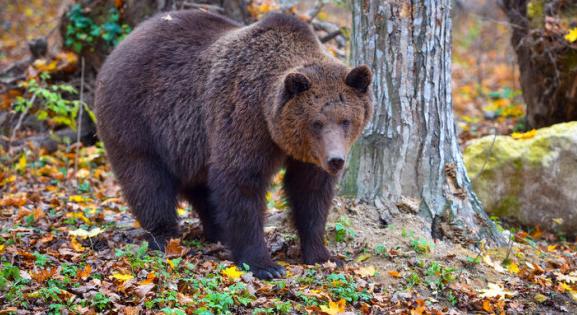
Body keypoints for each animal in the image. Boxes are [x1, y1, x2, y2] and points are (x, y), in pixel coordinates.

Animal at [94, 11, 374, 280]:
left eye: (346, 120)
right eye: (317, 122)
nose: (336, 160)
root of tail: (120, 47)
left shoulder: (308, 154)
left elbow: (310, 192)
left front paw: (322, 254)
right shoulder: (244, 117)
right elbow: (241, 182)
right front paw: (265, 265)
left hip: (189, 144)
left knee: (201, 186)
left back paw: (216, 230)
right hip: (137, 120)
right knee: (147, 181)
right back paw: (164, 236)